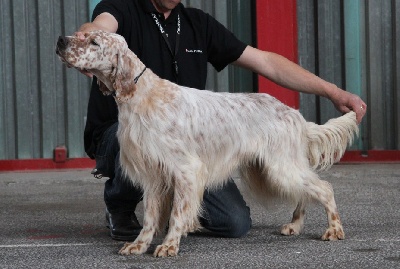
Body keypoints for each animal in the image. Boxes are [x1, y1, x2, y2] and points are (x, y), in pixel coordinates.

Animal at [54, 30, 358, 255]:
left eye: (94, 42)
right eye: (83, 35)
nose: (60, 41)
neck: (143, 95)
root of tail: (295, 115)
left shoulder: (185, 170)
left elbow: (177, 214)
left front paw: (169, 245)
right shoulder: (152, 172)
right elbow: (151, 217)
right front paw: (139, 245)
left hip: (280, 166)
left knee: (323, 188)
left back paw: (334, 229)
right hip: (274, 169)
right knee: (305, 192)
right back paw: (295, 225)